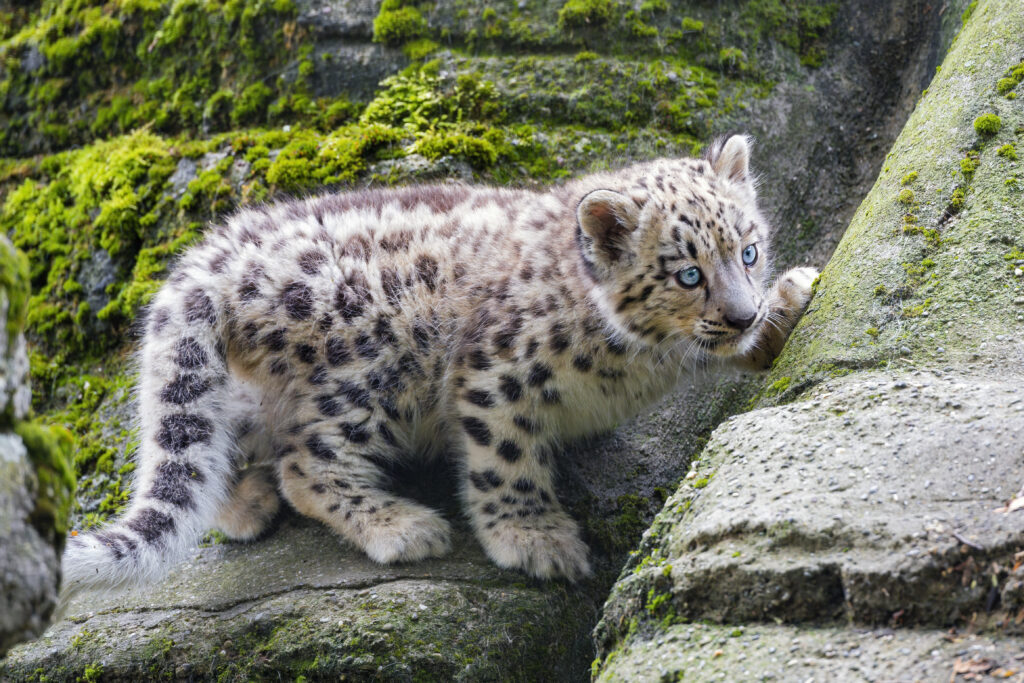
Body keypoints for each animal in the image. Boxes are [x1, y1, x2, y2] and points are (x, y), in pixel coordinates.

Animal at [62, 134, 817, 592]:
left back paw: (245, 500)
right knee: (307, 460)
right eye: (688, 274)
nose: (741, 313)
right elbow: (504, 459)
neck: (643, 362)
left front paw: (793, 299)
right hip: (370, 370)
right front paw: (535, 538)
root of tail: (217, 250)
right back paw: (398, 524)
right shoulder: (496, 372)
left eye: (749, 250)